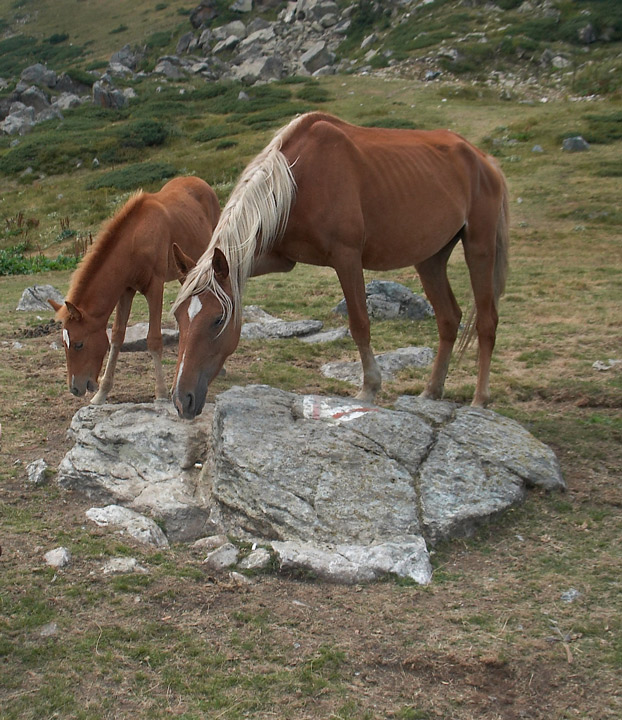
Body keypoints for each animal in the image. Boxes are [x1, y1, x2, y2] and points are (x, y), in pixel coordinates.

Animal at [51, 173, 222, 400]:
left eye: (79, 344)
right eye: (64, 344)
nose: (75, 389)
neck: (136, 240)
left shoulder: (155, 288)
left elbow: (154, 339)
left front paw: (161, 393)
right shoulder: (126, 290)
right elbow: (116, 336)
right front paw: (102, 393)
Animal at [172, 111, 512, 416]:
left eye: (218, 320)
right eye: (178, 316)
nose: (182, 399)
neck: (297, 181)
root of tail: (484, 159)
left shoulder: (347, 257)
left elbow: (359, 324)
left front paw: (369, 388)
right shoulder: (275, 259)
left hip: (479, 249)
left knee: (486, 321)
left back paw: (480, 399)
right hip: (430, 258)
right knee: (449, 318)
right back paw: (431, 391)